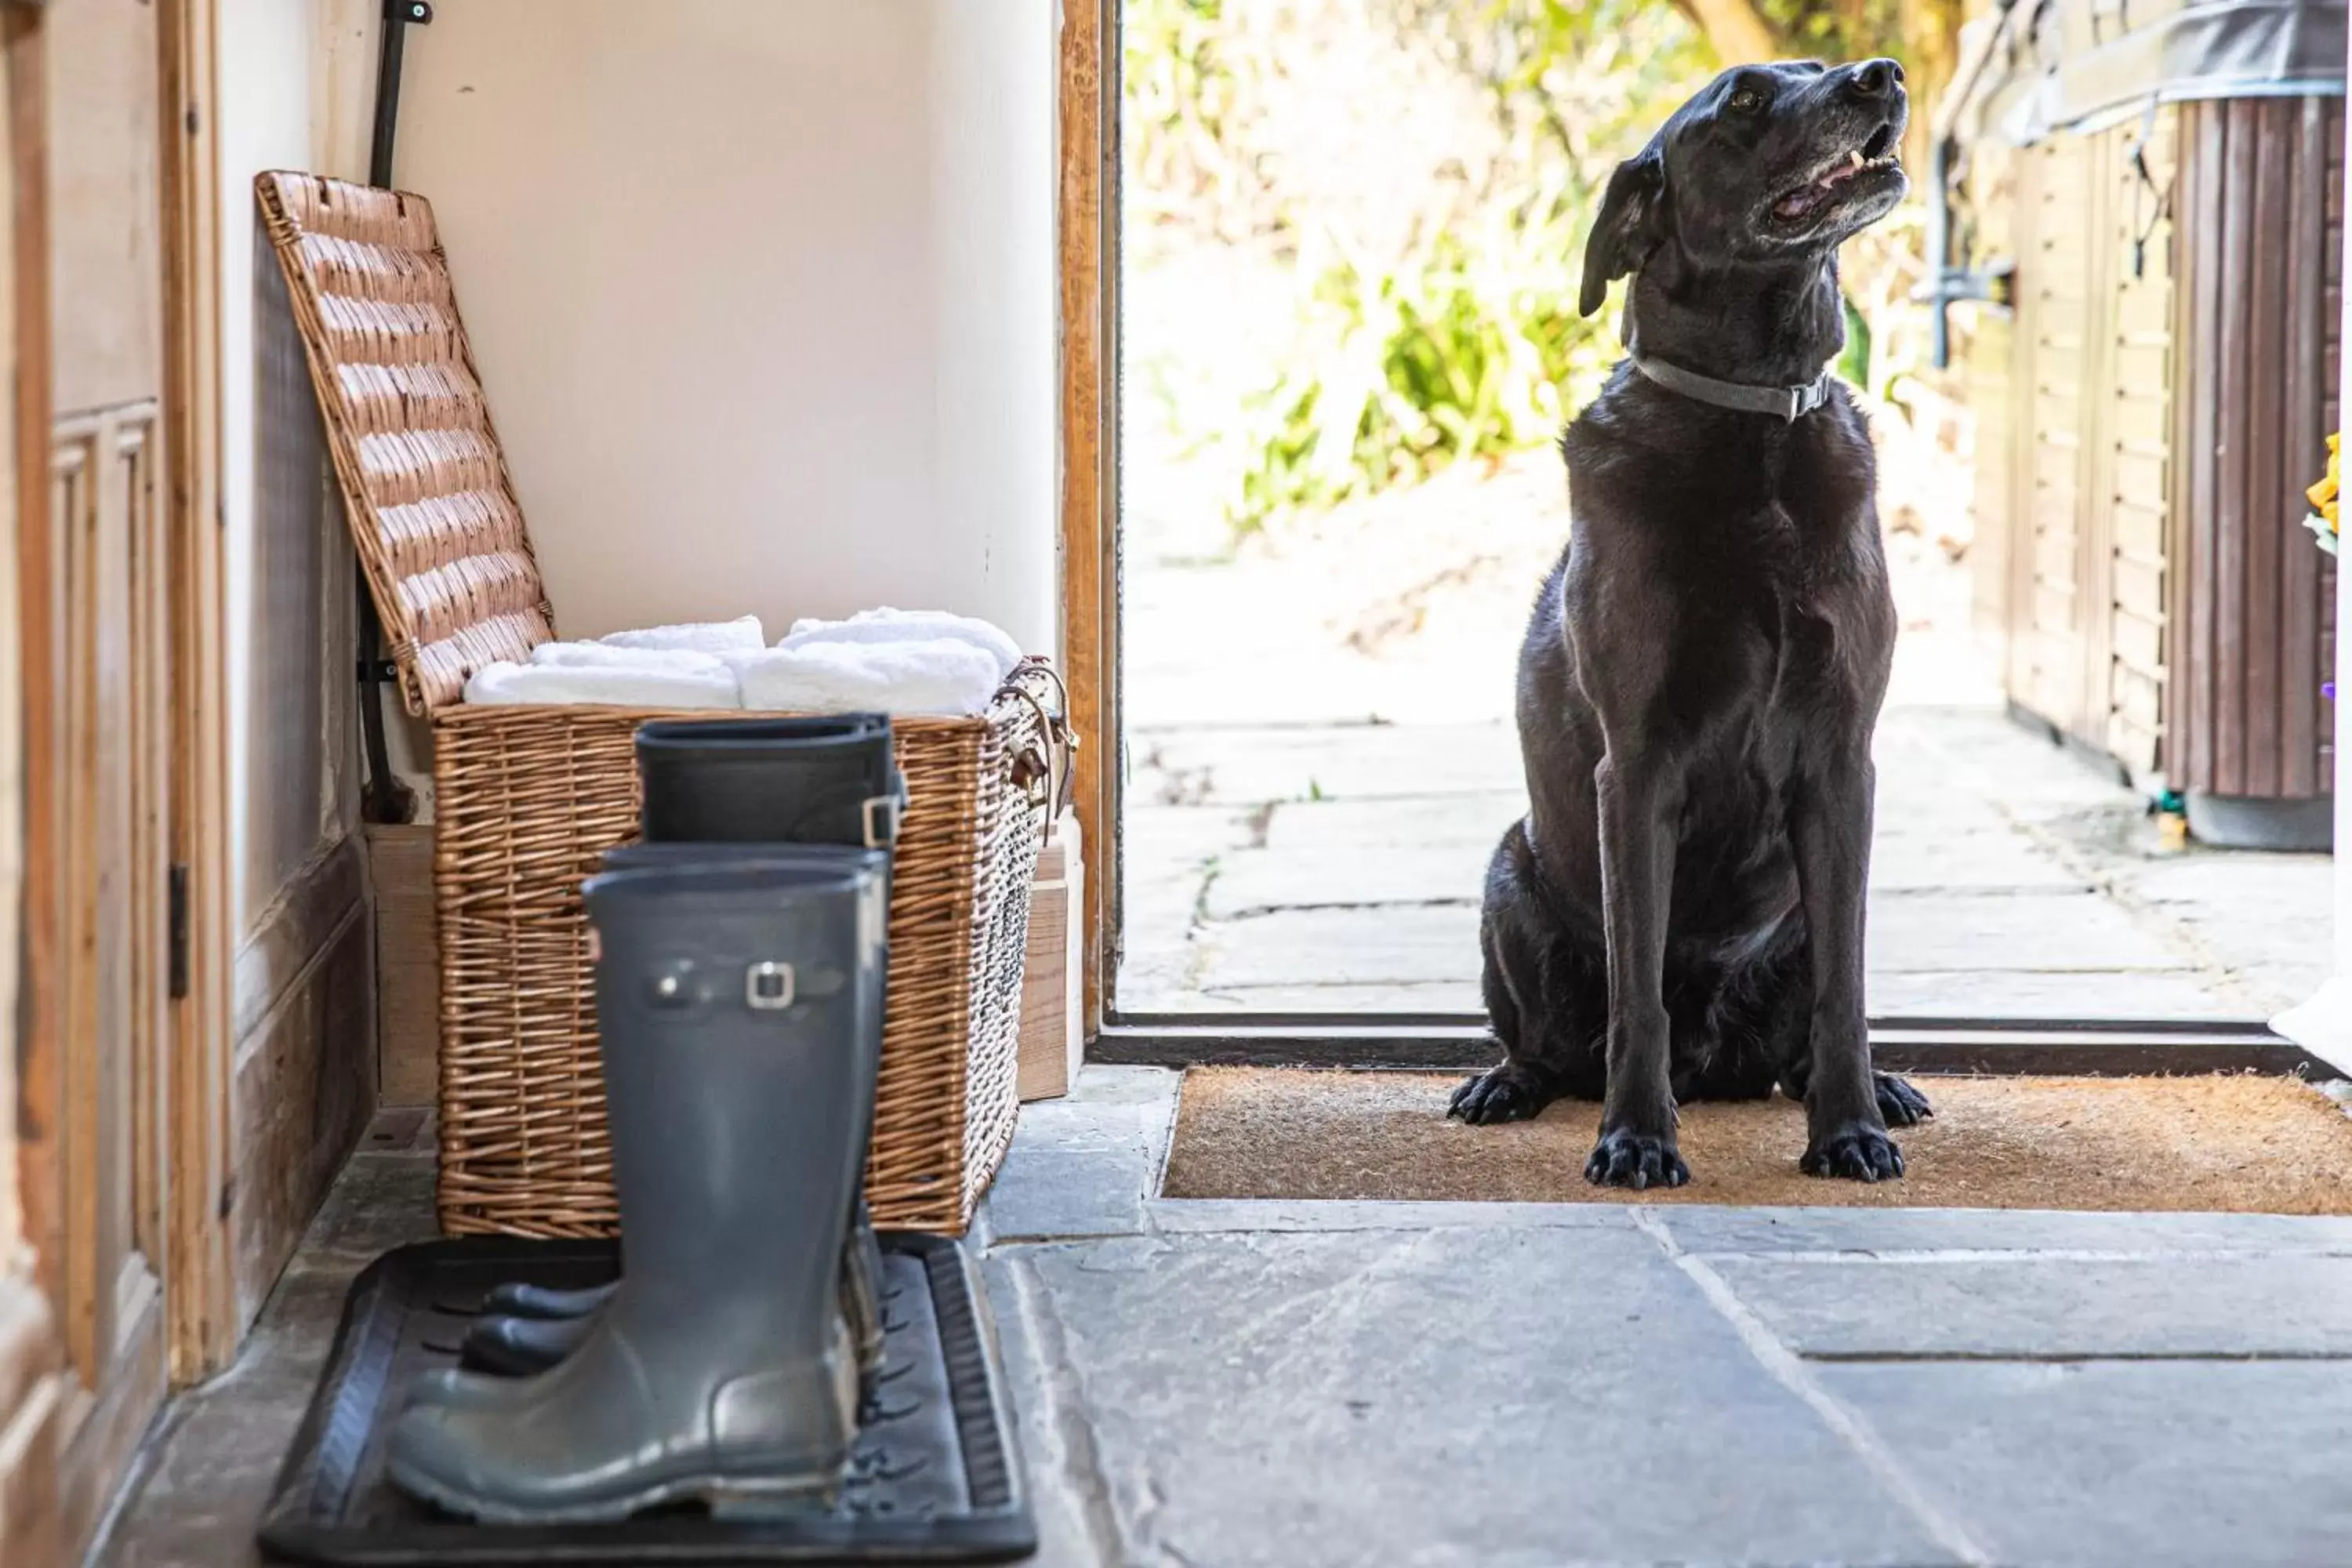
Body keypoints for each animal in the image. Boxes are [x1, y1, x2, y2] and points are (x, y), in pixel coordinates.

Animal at [1449, 58, 1929, 1189]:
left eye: (1813, 74)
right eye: (1746, 100)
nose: (1882, 75)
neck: (1754, 419)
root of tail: (1722, 1063)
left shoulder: (1842, 762)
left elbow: (1845, 996)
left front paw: (1850, 1129)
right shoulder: (1638, 765)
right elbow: (1637, 994)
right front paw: (1635, 1137)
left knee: (1802, 1032)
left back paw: (1873, 1087)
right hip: (1509, 879)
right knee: (1549, 1042)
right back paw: (1508, 1083)